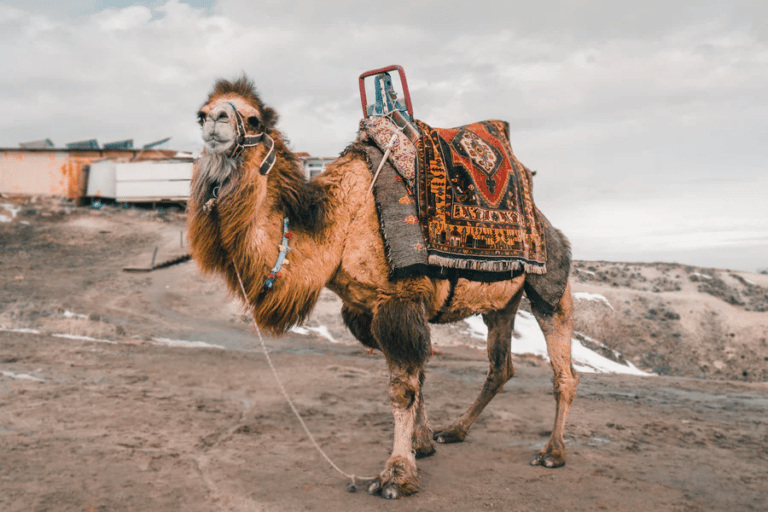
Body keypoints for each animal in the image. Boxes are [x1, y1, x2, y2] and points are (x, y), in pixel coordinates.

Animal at [189, 77, 580, 500]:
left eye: (253, 118)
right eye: (201, 114)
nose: (216, 119)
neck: (340, 223)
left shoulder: (398, 300)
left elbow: (402, 389)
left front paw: (396, 475)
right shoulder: (366, 310)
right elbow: (418, 378)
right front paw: (421, 444)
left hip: (550, 283)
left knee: (562, 366)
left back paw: (552, 452)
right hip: (501, 304)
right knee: (499, 366)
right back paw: (454, 431)